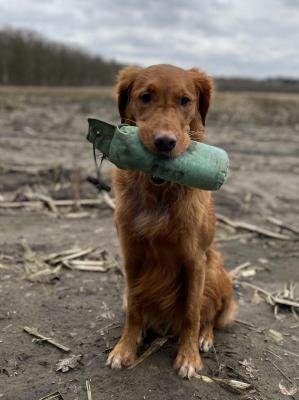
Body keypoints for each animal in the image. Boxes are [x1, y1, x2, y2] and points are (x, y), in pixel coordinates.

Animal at [106, 63, 236, 378]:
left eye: (185, 101)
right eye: (145, 97)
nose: (165, 142)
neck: (159, 193)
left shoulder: (195, 259)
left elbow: (191, 312)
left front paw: (188, 357)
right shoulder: (131, 255)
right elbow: (134, 307)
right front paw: (125, 347)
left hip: (215, 267)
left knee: (209, 316)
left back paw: (205, 338)